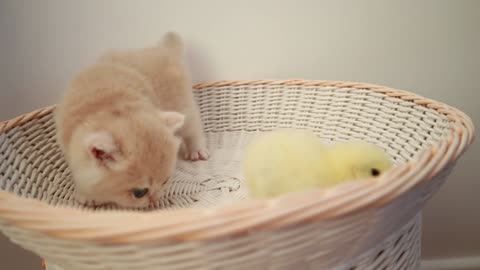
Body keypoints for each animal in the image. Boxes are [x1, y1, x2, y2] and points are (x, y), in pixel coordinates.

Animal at [54, 32, 208, 209]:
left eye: (165, 181)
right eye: (139, 193)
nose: (154, 200)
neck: (107, 106)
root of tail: (163, 49)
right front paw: (86, 195)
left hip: (182, 105)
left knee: (193, 128)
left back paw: (197, 150)